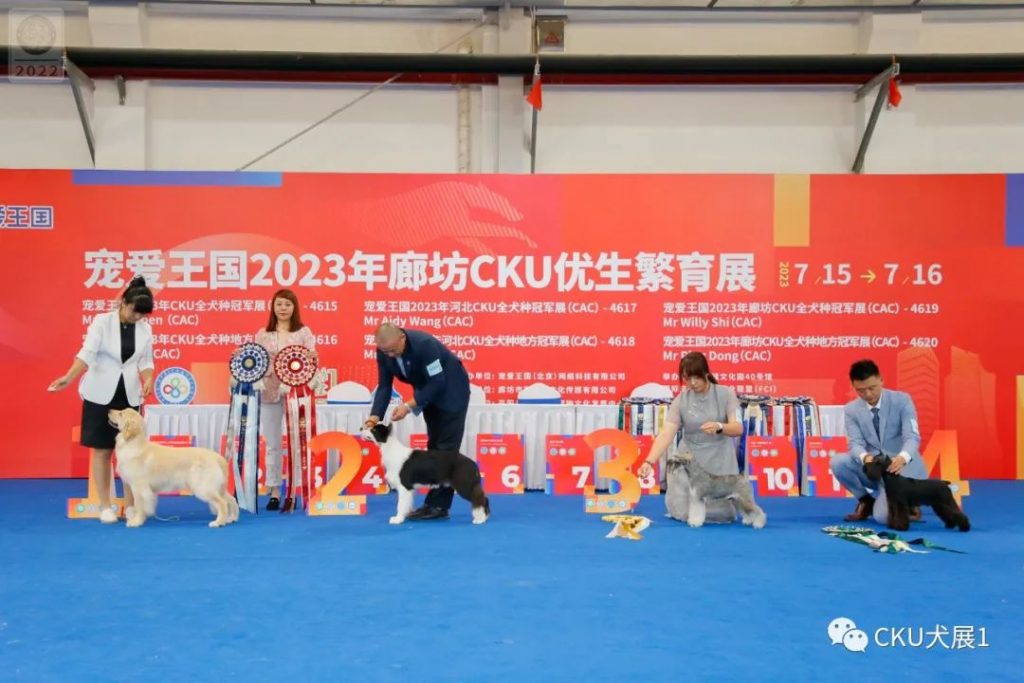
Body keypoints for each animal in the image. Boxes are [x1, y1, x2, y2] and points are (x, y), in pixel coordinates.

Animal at [108, 408, 240, 528]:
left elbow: (139, 506)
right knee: (232, 499)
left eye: (121, 413)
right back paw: (232, 518)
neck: (134, 444)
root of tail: (218, 457)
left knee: (222, 503)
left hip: (203, 487)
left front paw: (136, 521)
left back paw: (218, 522)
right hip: (217, 488)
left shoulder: (139, 487)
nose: (109, 410)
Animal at [361, 422, 490, 525]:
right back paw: (485, 517)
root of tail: (472, 463)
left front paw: (397, 519)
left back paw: (480, 519)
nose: (361, 427)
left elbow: (401, 504)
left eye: (373, 430)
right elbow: (406, 504)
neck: (389, 446)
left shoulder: (404, 486)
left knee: (478, 498)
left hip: (464, 484)